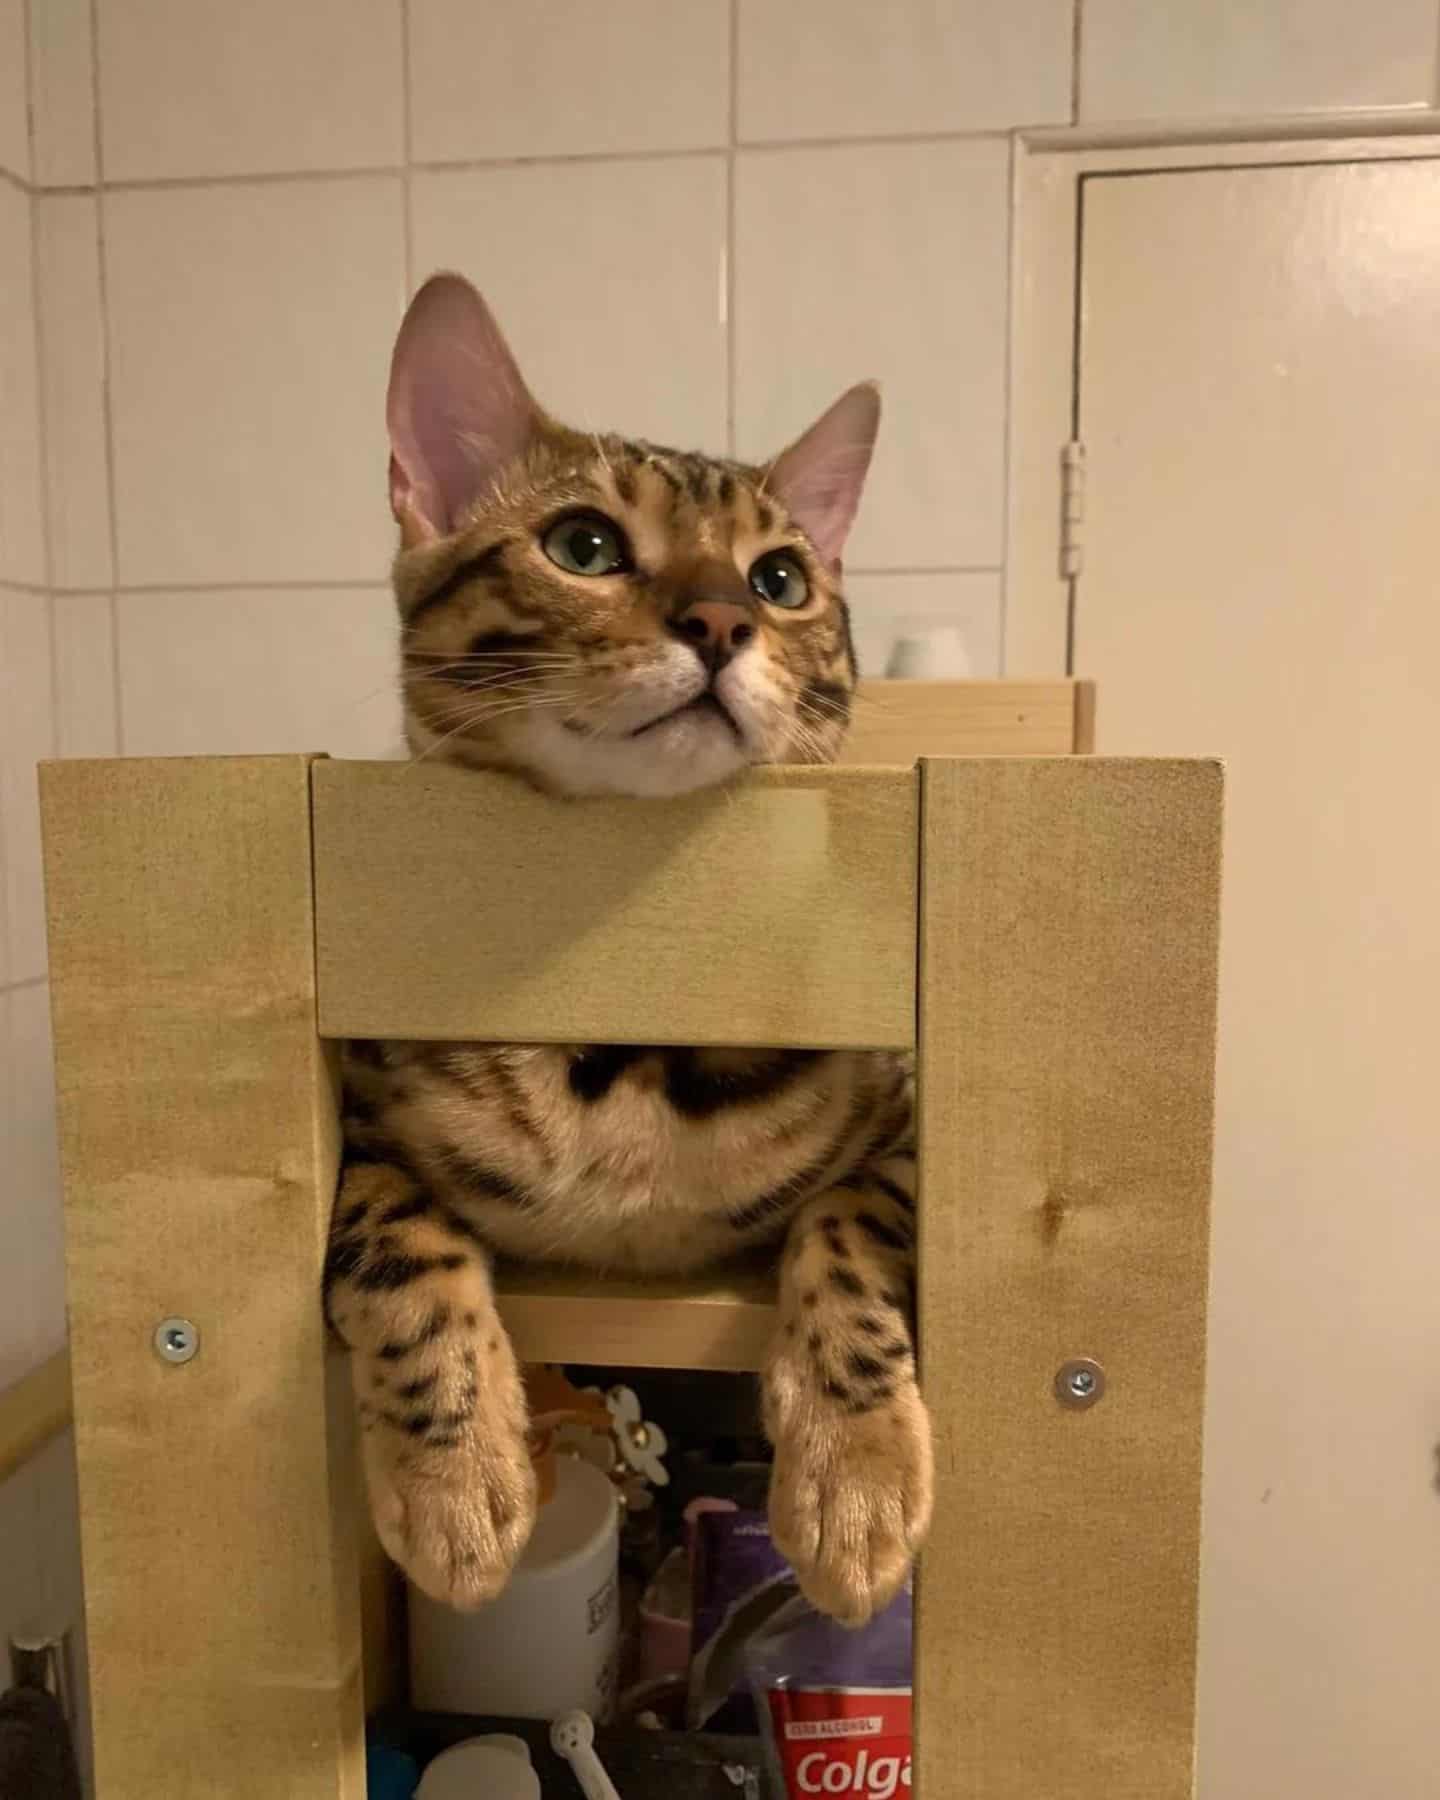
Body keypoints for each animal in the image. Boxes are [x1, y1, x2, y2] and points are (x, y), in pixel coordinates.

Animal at [324, 270, 936, 1634]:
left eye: (780, 576)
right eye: (584, 547)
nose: (719, 619)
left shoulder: (913, 1120)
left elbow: (856, 1221)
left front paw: (857, 1472)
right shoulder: (353, 1113)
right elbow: (393, 1233)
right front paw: (456, 1477)